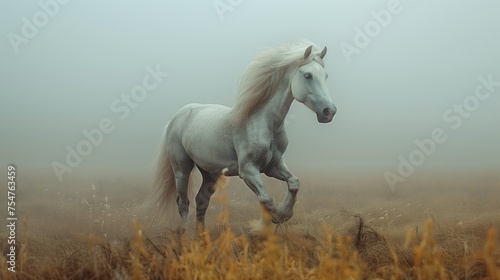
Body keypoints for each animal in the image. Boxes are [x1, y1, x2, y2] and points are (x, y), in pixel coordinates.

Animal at [151, 40, 336, 230]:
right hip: (181, 168)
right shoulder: (248, 171)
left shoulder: (273, 166)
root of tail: (175, 118)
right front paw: (265, 224)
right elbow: (266, 200)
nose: (329, 112)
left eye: (326, 76)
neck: (263, 123)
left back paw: (201, 235)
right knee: (183, 202)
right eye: (308, 75)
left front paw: (283, 214)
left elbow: (294, 183)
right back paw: (188, 233)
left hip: (210, 173)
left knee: (201, 200)